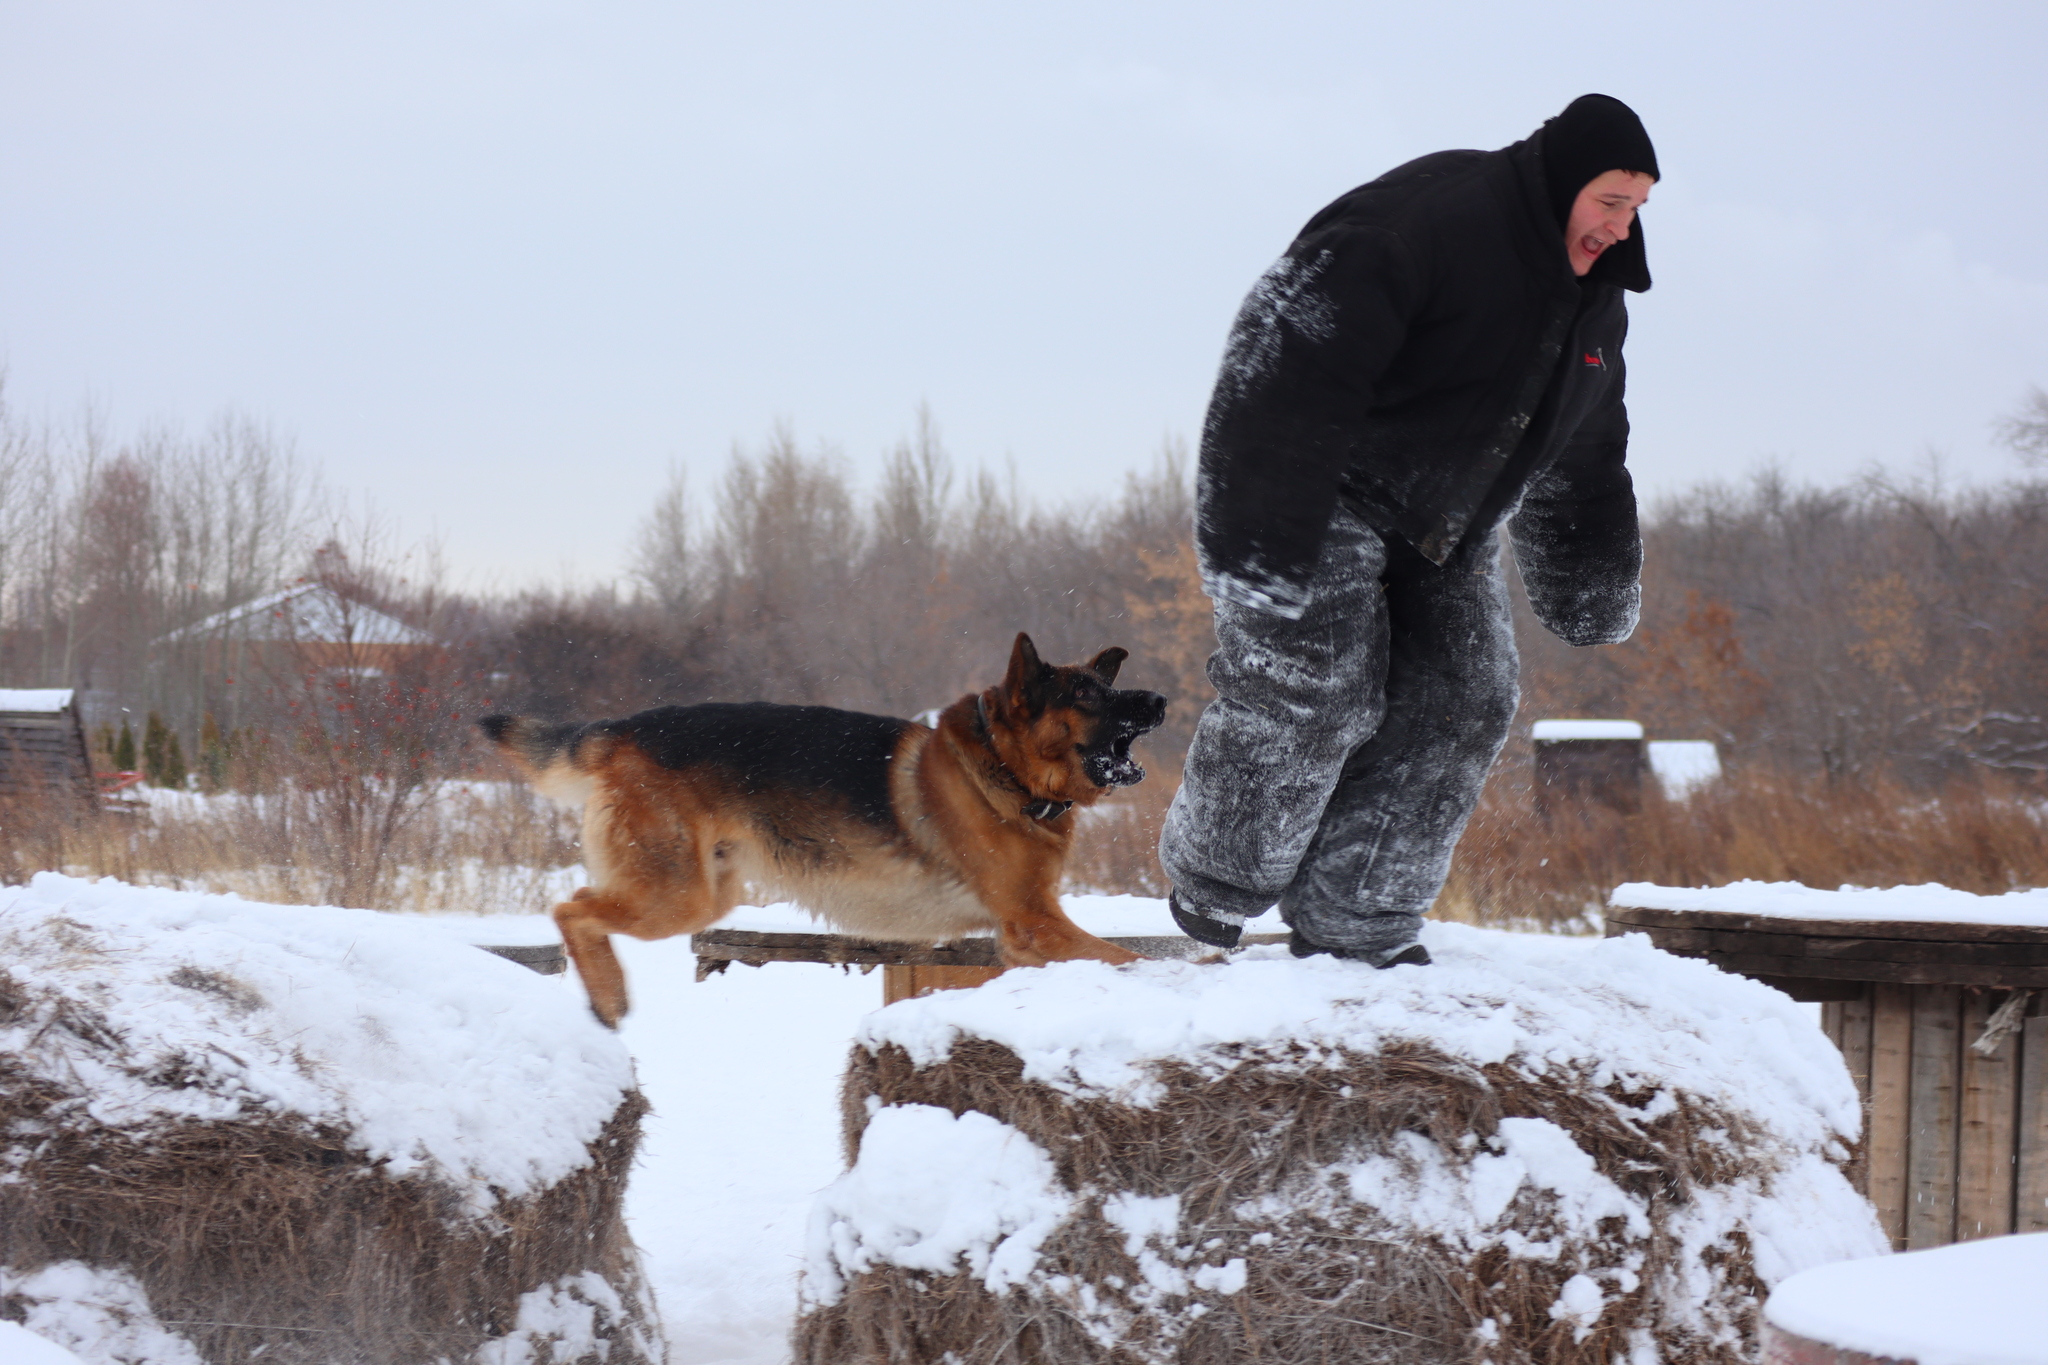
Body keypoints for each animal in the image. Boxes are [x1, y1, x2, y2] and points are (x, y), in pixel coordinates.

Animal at [471, 634, 1163, 1031]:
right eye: (1086, 695)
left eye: (1105, 686)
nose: (1158, 700)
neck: (1003, 767)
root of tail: (623, 728)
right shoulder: (1036, 922)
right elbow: (1133, 960)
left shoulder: (1025, 938)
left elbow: (1117, 958)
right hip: (675, 895)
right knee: (570, 908)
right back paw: (609, 999)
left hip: (707, 893)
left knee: (578, 908)